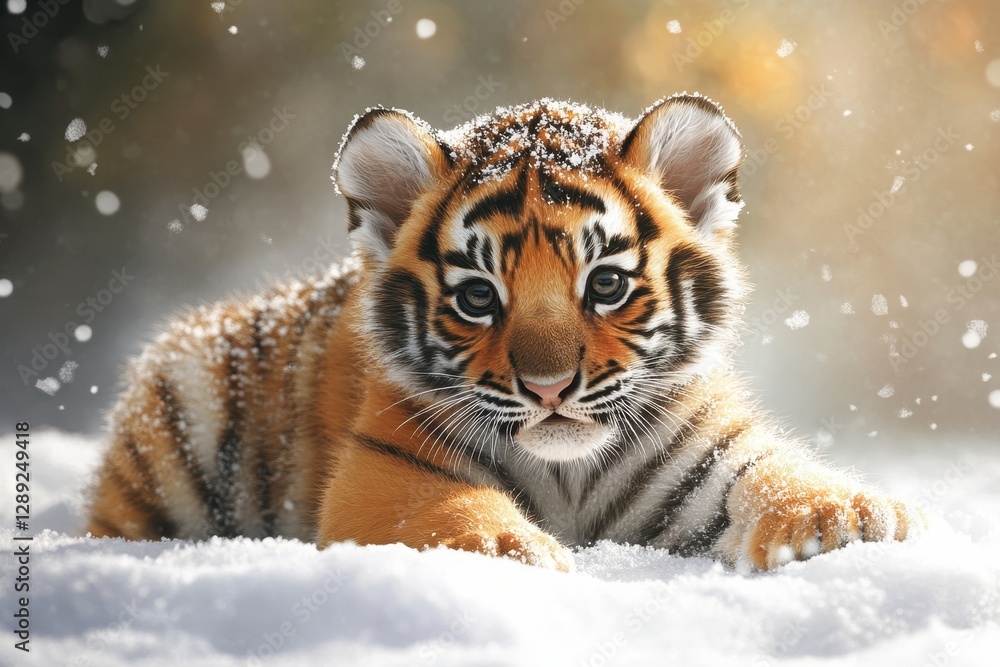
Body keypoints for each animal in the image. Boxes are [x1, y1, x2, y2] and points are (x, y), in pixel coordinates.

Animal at [86, 94, 923, 572]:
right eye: (478, 297)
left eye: (605, 284)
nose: (549, 388)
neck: (568, 473)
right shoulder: (387, 465)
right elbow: (442, 508)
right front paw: (505, 549)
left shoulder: (705, 445)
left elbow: (772, 468)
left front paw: (837, 520)